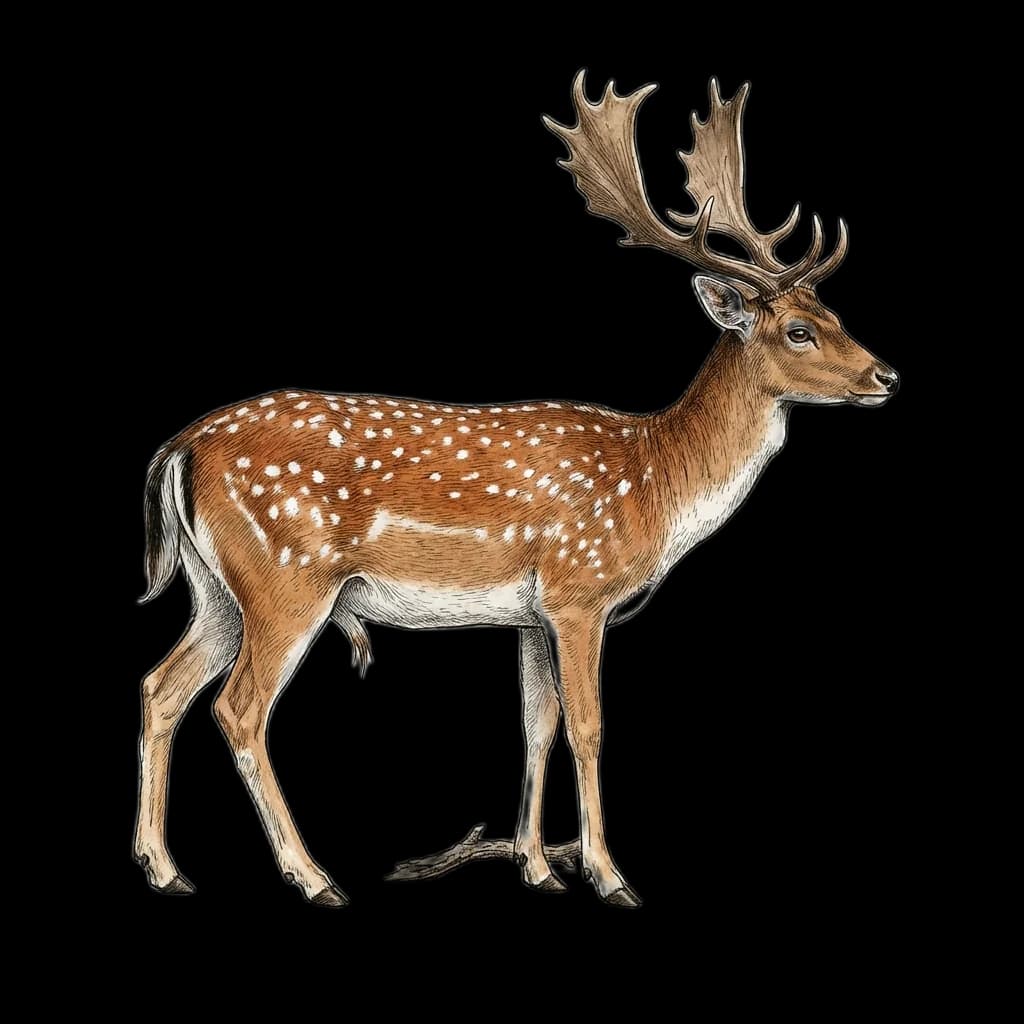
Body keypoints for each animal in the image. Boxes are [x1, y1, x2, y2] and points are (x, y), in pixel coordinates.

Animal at [134, 71, 898, 909]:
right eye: (798, 330)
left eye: (834, 313)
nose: (885, 376)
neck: (655, 480)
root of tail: (179, 448)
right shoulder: (579, 590)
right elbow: (590, 726)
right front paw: (608, 875)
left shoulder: (530, 614)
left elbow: (537, 725)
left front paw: (538, 867)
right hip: (286, 578)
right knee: (238, 709)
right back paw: (312, 876)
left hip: (216, 587)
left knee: (161, 686)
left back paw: (164, 867)